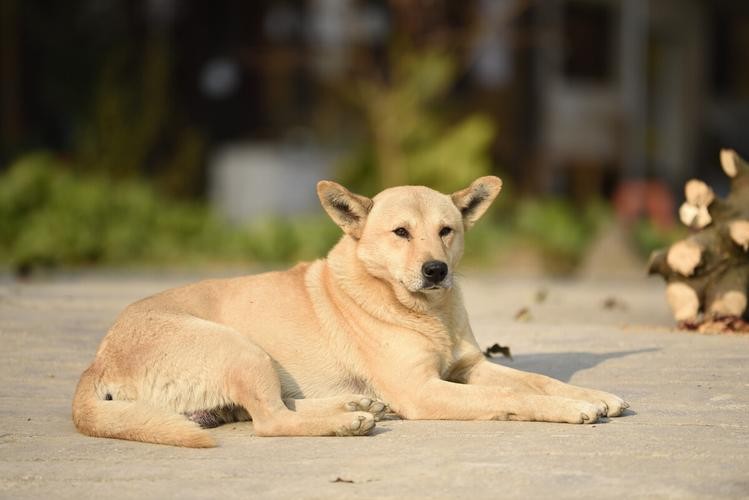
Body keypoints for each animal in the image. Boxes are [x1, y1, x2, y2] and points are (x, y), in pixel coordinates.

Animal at [74, 178, 624, 448]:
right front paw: (569, 409)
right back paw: (347, 422)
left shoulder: (471, 368)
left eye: (446, 230)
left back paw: (357, 407)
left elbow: (538, 380)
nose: (436, 270)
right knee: (269, 420)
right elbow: (515, 396)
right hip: (240, 347)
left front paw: (593, 394)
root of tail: (98, 358)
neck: (426, 311)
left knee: (271, 407)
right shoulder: (424, 390)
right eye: (400, 232)